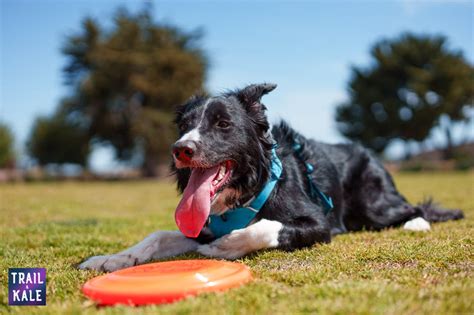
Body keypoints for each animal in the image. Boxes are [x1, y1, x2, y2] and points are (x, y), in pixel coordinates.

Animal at [79, 83, 464, 272]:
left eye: (223, 124)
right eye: (184, 126)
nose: (181, 149)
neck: (247, 190)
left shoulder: (320, 224)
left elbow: (266, 227)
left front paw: (225, 246)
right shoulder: (200, 226)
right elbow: (156, 235)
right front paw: (110, 259)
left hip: (374, 203)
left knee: (413, 208)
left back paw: (416, 223)